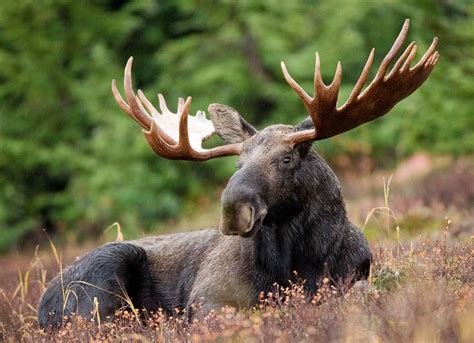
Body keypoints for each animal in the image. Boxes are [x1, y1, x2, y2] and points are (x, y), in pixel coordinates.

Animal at [37, 19, 436, 330]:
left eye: (286, 158)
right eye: (237, 164)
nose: (233, 210)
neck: (302, 261)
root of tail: (41, 307)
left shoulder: (356, 275)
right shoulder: (207, 297)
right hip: (103, 276)